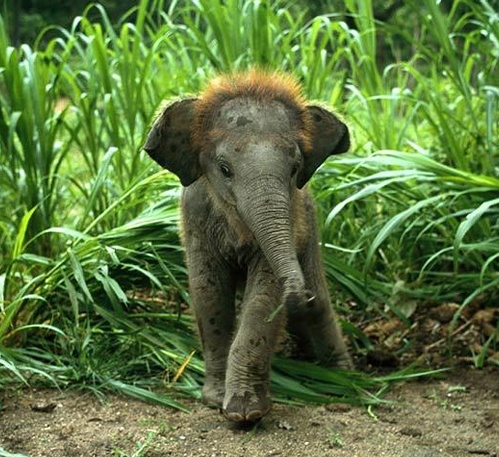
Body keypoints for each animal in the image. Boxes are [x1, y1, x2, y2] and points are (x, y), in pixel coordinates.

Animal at [145, 69, 352, 422]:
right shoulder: (195, 217)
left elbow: (263, 298)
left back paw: (345, 379)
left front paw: (245, 413)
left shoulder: (292, 218)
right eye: (224, 169)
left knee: (320, 309)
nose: (300, 295)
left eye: (295, 168)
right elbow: (209, 292)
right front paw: (216, 401)